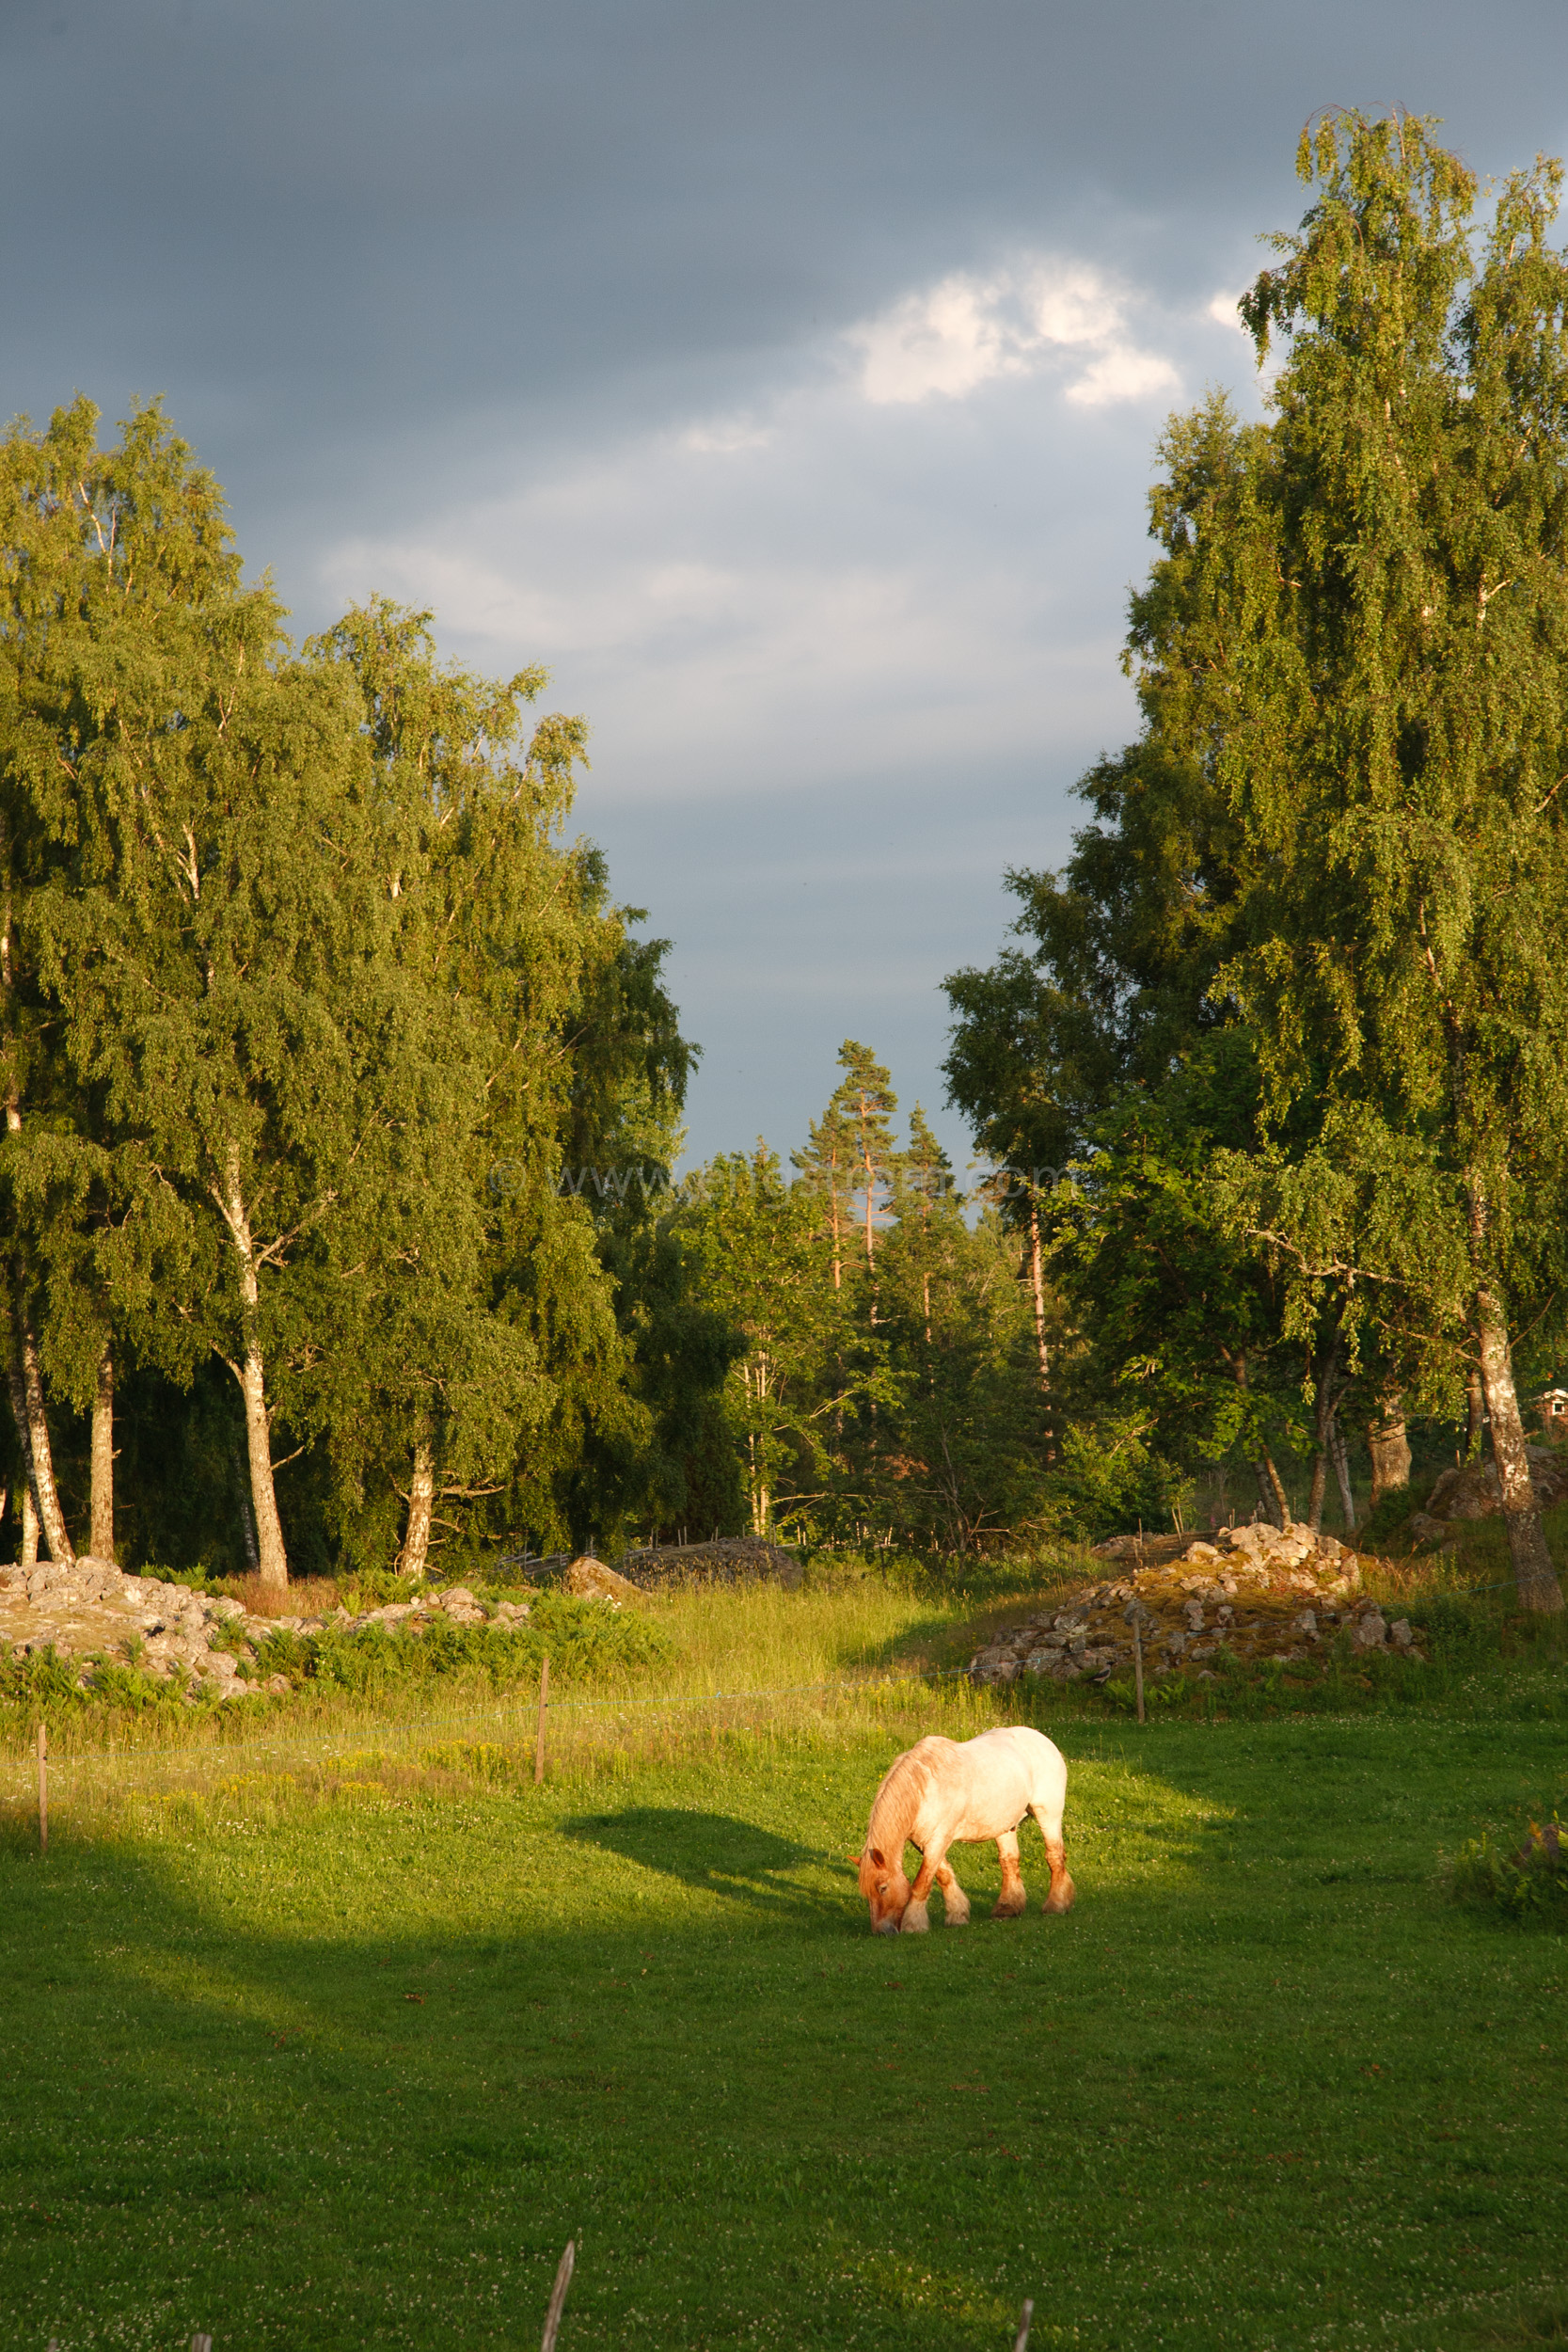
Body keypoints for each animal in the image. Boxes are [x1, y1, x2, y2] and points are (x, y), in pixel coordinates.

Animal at [860, 1722, 1081, 1938]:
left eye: (882, 1888)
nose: (881, 1932)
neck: (925, 1786)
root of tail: (1044, 1740)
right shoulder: (925, 1842)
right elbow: (943, 1875)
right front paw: (958, 1914)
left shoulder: (938, 1839)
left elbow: (922, 1883)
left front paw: (913, 1925)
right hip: (1005, 1825)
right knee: (1009, 1861)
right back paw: (1007, 1907)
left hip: (1048, 1814)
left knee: (1054, 1855)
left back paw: (1057, 1905)